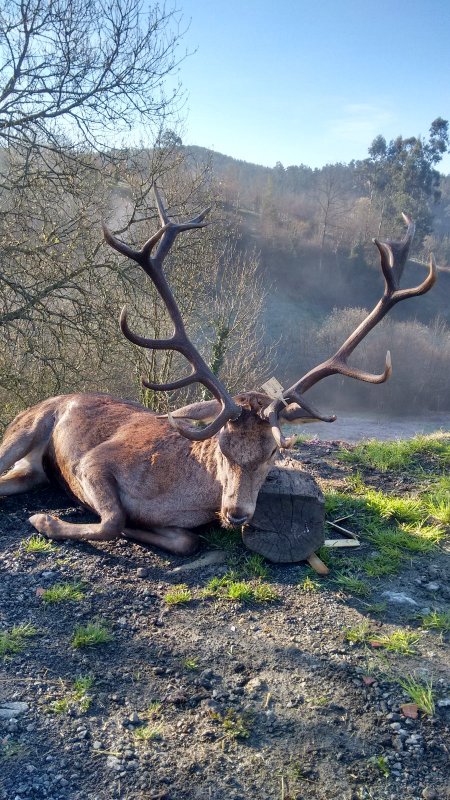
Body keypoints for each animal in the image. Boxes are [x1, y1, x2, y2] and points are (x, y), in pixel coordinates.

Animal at [0, 187, 436, 561]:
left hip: (31, 470)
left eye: (274, 452)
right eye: (222, 447)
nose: (237, 512)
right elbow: (113, 520)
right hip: (25, 424)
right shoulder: (94, 460)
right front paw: (44, 520)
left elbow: (184, 540)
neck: (180, 495)